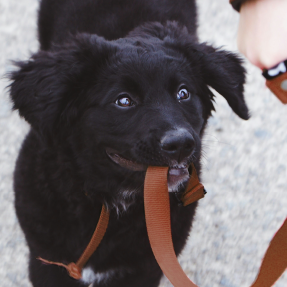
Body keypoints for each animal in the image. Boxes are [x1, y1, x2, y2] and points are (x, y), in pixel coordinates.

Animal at [7, 1, 249, 286]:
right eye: (123, 101)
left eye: (183, 93)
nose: (181, 144)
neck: (110, 201)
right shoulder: (47, 262)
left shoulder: (146, 267)